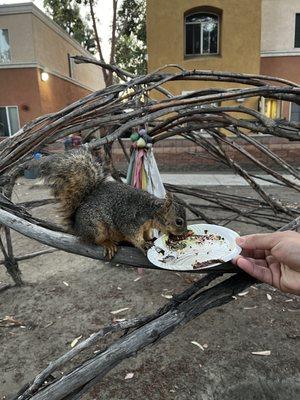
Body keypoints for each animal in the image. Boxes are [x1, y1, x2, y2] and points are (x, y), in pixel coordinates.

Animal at [38, 150, 186, 260]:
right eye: (179, 221)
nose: (184, 233)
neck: (151, 211)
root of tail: (77, 227)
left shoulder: (146, 226)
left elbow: (147, 233)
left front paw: (151, 238)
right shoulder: (130, 220)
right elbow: (133, 235)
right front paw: (143, 244)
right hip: (96, 227)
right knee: (96, 240)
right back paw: (107, 243)